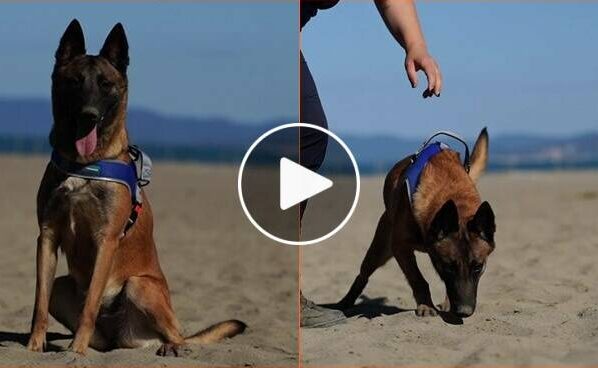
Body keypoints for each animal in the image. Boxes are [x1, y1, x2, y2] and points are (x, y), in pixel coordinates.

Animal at [25, 19, 246, 356]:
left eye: (105, 84)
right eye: (75, 82)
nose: (89, 115)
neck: (85, 164)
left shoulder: (106, 240)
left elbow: (90, 304)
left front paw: (76, 351)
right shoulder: (48, 235)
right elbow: (40, 301)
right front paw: (34, 346)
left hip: (139, 285)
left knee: (177, 334)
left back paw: (170, 347)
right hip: (66, 286)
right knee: (98, 333)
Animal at [338, 128, 496, 318]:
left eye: (478, 267)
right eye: (449, 267)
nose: (464, 312)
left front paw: (444, 304)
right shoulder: (400, 247)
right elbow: (418, 279)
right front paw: (426, 305)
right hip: (380, 250)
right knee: (363, 275)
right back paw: (343, 303)